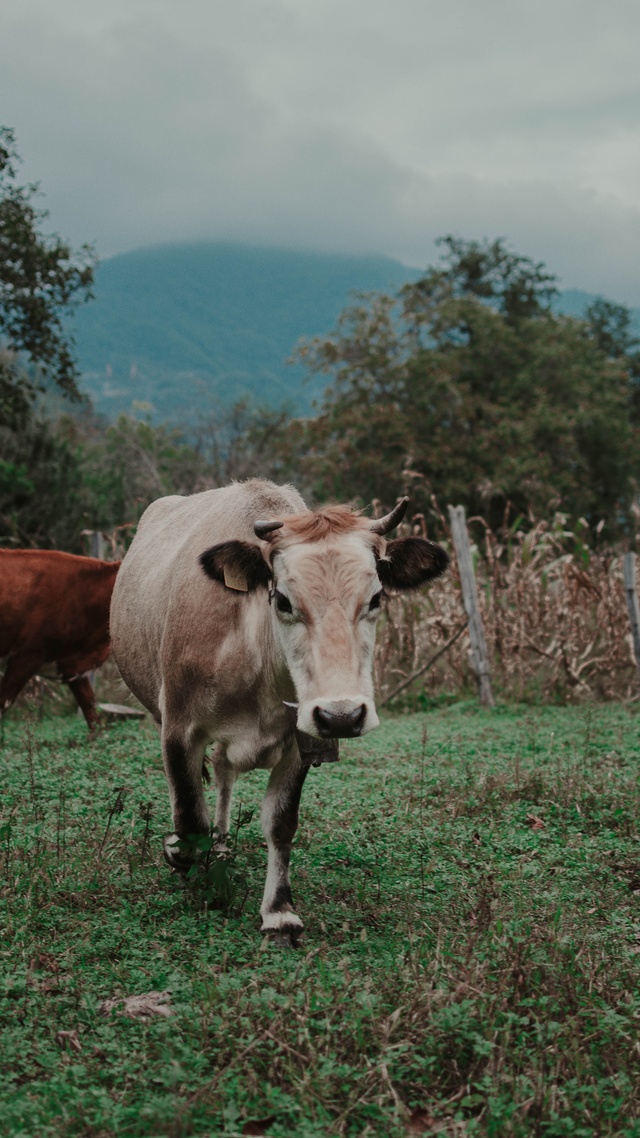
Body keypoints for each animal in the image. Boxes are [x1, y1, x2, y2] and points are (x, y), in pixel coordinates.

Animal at [109, 475, 446, 937]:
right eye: (283, 600)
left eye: (376, 598)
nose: (343, 715)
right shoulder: (178, 728)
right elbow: (189, 817)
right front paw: (188, 868)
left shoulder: (303, 738)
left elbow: (280, 823)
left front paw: (279, 911)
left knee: (225, 774)